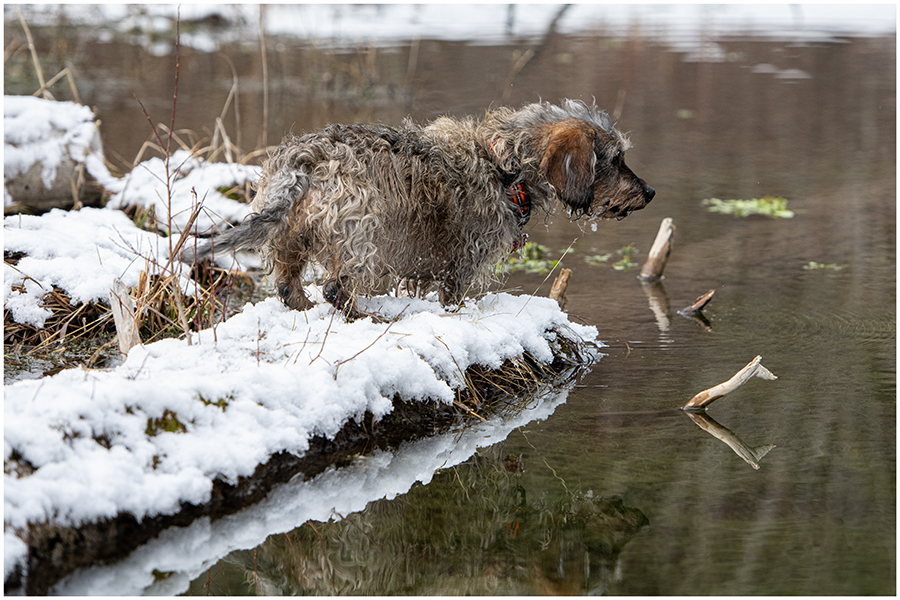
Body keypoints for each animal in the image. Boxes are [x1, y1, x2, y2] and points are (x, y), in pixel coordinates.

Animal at [183, 100, 655, 318]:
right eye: (615, 160)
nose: (649, 192)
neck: (503, 165)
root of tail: (305, 158)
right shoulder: (460, 263)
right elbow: (453, 298)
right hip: (363, 233)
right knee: (336, 289)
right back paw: (369, 318)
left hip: (287, 239)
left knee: (287, 287)